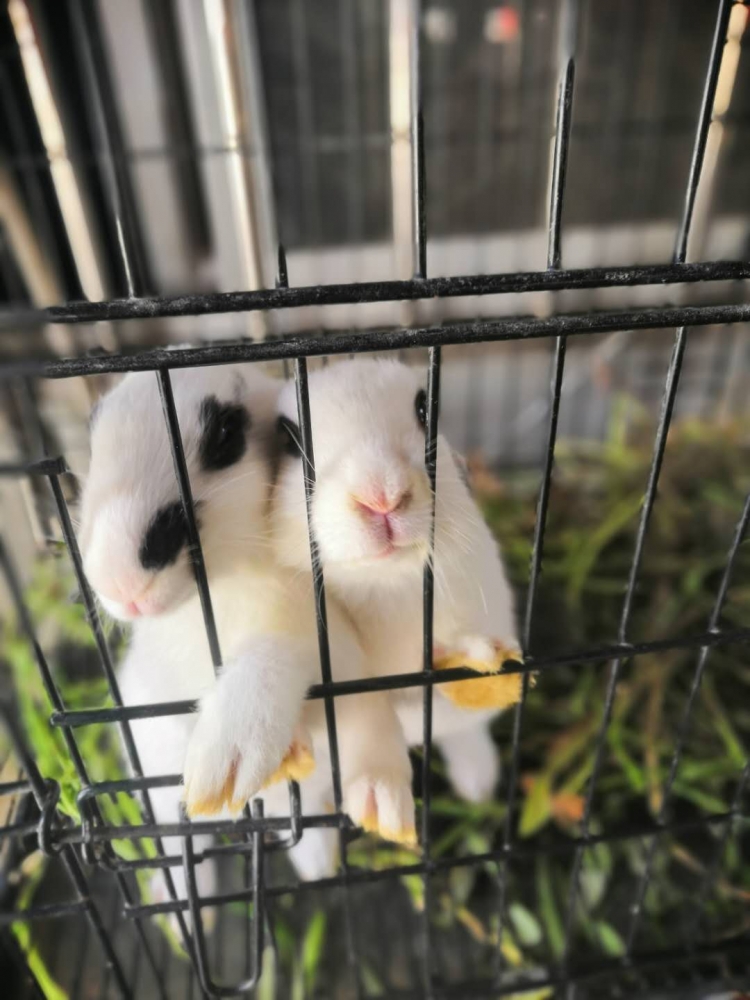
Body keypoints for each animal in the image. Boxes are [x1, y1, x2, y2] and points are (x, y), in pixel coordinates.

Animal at [78, 363, 415, 930]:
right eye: (92, 436)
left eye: (224, 437)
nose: (119, 578)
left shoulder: (312, 637)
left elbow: (269, 660)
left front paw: (228, 760)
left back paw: (328, 851)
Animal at [271, 357, 524, 808]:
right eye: (287, 438)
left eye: (424, 410)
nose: (382, 497)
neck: (381, 581)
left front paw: (480, 654)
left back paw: (478, 786)